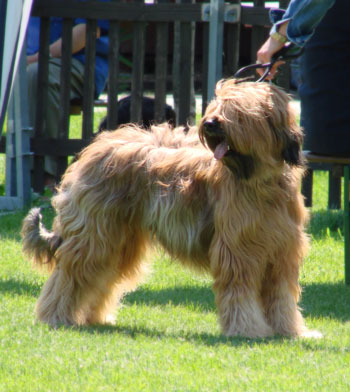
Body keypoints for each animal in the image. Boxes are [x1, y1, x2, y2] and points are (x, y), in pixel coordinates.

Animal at [23, 79, 316, 336]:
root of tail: (94, 148)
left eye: (238, 112)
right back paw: (56, 316)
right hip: (95, 234)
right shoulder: (237, 251)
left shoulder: (282, 253)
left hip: (119, 240)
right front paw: (248, 330)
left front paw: (291, 331)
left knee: (99, 277)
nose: (209, 123)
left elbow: (282, 298)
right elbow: (239, 294)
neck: (260, 180)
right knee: (71, 276)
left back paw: (94, 318)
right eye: (216, 107)